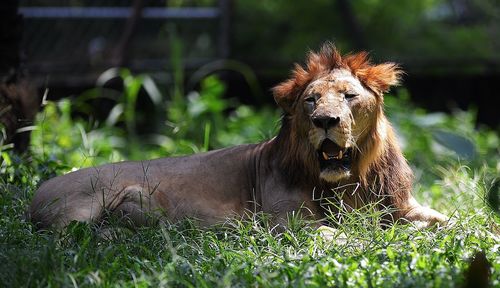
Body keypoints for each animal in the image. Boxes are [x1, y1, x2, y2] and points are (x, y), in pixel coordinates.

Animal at [29, 42, 448, 231]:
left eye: (348, 96)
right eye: (311, 100)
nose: (325, 121)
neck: (350, 179)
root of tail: (34, 192)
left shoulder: (402, 205)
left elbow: (451, 220)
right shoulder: (288, 222)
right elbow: (338, 235)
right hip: (85, 205)